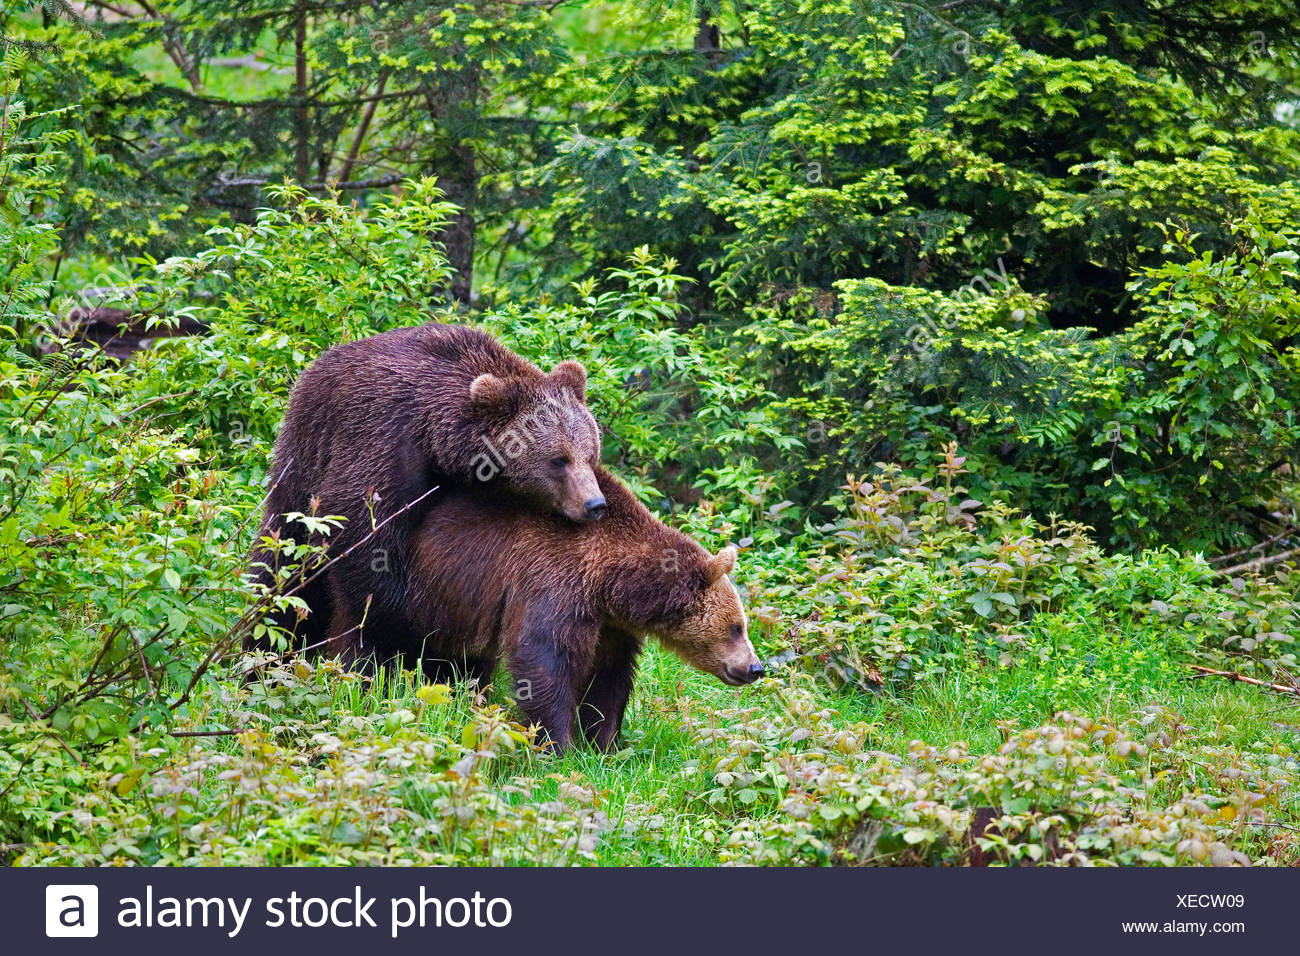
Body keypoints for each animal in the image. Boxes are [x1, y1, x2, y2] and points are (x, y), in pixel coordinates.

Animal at [248, 323, 604, 654]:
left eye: (590, 454)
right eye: (559, 459)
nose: (595, 504)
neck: (440, 438)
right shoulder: (386, 437)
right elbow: (358, 525)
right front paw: (402, 629)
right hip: (303, 464)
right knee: (281, 570)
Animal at [324, 466, 765, 752]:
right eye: (737, 627)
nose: (756, 667)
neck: (612, 577)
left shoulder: (608, 621)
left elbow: (608, 676)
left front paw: (604, 742)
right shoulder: (551, 578)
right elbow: (545, 659)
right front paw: (559, 745)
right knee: (362, 640)